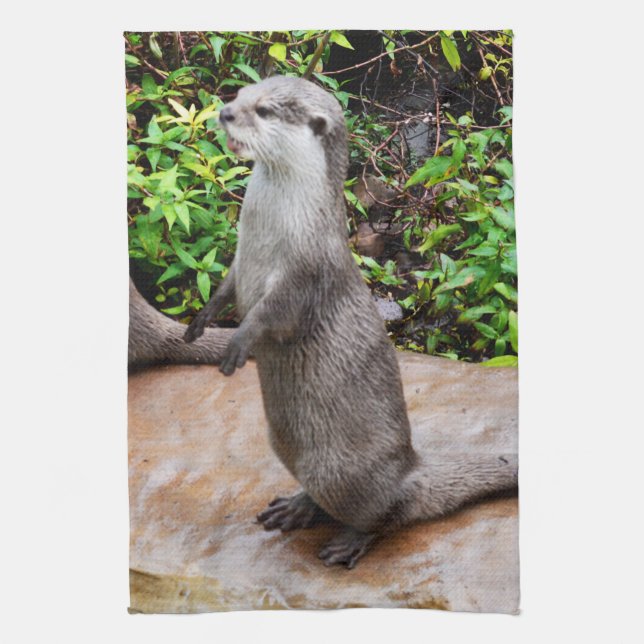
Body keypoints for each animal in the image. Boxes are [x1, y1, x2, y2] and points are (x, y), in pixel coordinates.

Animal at [184, 76, 517, 568]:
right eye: (240, 94)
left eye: (263, 110)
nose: (224, 113)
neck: (271, 231)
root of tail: (410, 470)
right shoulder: (241, 261)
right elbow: (225, 288)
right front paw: (199, 324)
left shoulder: (306, 270)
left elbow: (272, 314)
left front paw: (237, 344)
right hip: (288, 448)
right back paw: (297, 506)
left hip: (342, 472)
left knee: (389, 513)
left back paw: (351, 540)